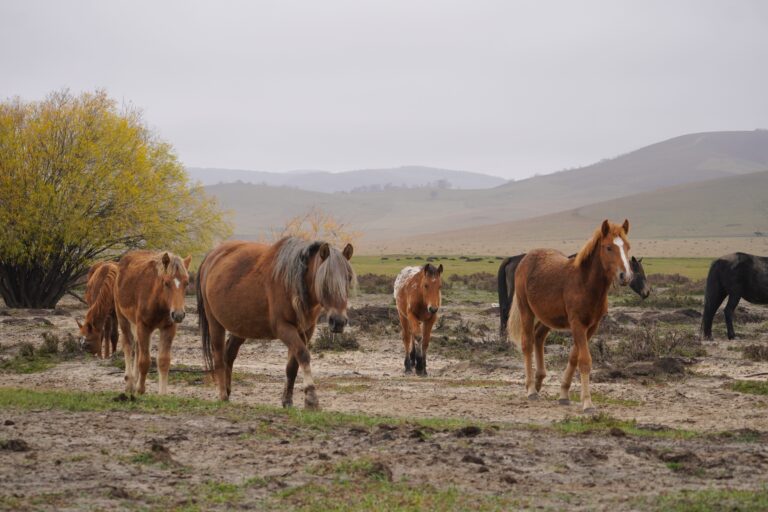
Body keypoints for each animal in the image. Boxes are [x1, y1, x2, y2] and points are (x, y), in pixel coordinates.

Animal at [114, 251, 191, 395]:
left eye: (187, 283)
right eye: (166, 283)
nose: (178, 315)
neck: (158, 300)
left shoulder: (168, 328)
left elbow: (163, 361)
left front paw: (162, 394)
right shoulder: (144, 327)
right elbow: (144, 361)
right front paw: (140, 389)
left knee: (137, 347)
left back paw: (135, 380)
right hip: (122, 317)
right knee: (128, 345)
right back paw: (130, 383)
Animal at [196, 237, 354, 408]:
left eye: (349, 278)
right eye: (324, 281)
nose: (338, 321)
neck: (292, 283)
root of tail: (211, 257)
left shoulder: (305, 330)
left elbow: (292, 366)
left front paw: (287, 400)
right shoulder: (284, 328)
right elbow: (303, 355)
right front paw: (311, 398)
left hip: (241, 326)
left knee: (229, 354)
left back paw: (227, 389)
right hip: (215, 323)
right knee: (219, 356)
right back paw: (223, 394)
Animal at [507, 219, 633, 412]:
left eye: (627, 246)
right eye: (608, 247)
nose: (625, 276)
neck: (585, 283)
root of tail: (526, 258)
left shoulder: (591, 326)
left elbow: (574, 357)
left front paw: (564, 394)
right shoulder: (577, 324)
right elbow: (584, 360)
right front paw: (587, 403)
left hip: (548, 317)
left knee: (539, 337)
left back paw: (538, 381)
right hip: (525, 309)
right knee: (527, 343)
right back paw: (531, 389)